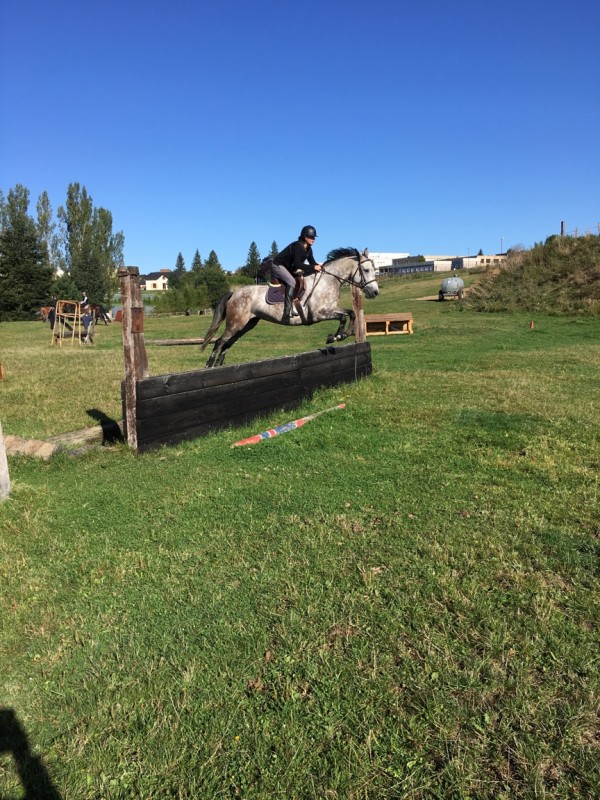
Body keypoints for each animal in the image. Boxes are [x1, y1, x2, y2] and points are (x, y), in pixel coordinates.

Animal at [201, 247, 379, 368]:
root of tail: (235, 292)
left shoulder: (331, 309)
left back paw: (218, 366)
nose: (375, 292)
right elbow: (343, 316)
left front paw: (342, 335)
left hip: (247, 324)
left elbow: (351, 314)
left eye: (374, 269)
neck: (328, 281)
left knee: (227, 344)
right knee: (219, 342)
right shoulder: (319, 313)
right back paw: (209, 366)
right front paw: (334, 337)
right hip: (235, 323)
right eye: (366, 270)